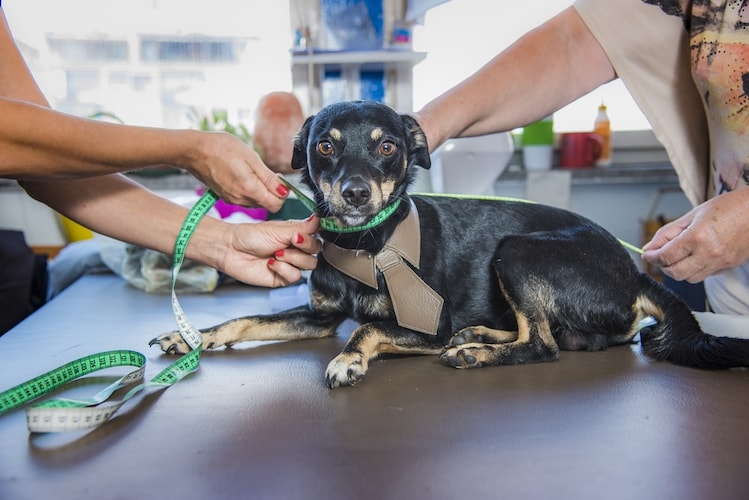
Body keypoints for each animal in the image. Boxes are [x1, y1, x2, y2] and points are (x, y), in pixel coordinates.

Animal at [152, 98, 748, 386]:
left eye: (388, 146)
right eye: (324, 145)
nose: (355, 192)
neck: (368, 243)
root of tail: (635, 270)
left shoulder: (424, 324)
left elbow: (368, 326)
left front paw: (349, 361)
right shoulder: (319, 317)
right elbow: (243, 320)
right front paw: (191, 337)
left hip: (518, 249)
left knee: (544, 344)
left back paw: (474, 353)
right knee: (556, 334)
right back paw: (479, 334)